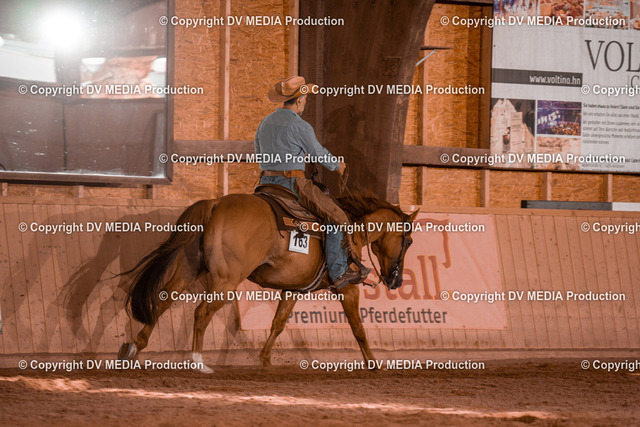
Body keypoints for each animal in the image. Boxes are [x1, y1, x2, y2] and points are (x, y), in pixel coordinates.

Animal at [118, 192, 418, 373]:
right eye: (409, 241)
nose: (396, 280)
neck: (352, 230)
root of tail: (215, 203)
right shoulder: (348, 288)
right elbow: (358, 328)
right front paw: (374, 364)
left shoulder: (293, 289)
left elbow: (278, 323)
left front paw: (264, 359)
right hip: (226, 281)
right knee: (201, 312)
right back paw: (197, 362)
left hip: (188, 269)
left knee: (163, 299)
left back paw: (133, 348)